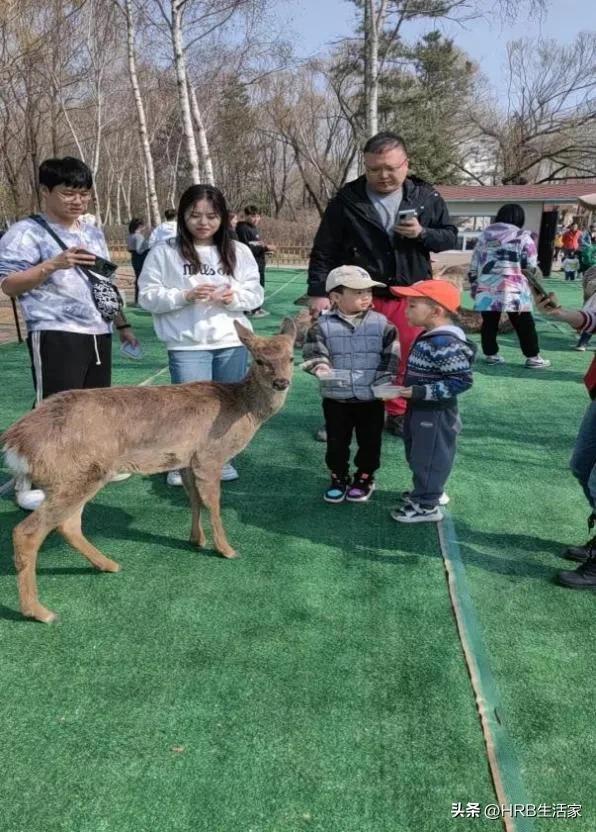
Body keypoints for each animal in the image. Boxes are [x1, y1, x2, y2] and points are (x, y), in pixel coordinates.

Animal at [1, 318, 296, 624]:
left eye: (291, 357)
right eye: (259, 360)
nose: (281, 382)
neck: (239, 408)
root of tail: (14, 441)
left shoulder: (186, 459)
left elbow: (194, 500)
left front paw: (196, 540)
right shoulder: (209, 456)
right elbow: (213, 504)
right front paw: (226, 549)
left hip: (79, 477)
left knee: (68, 525)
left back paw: (108, 565)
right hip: (73, 475)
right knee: (28, 532)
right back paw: (39, 611)